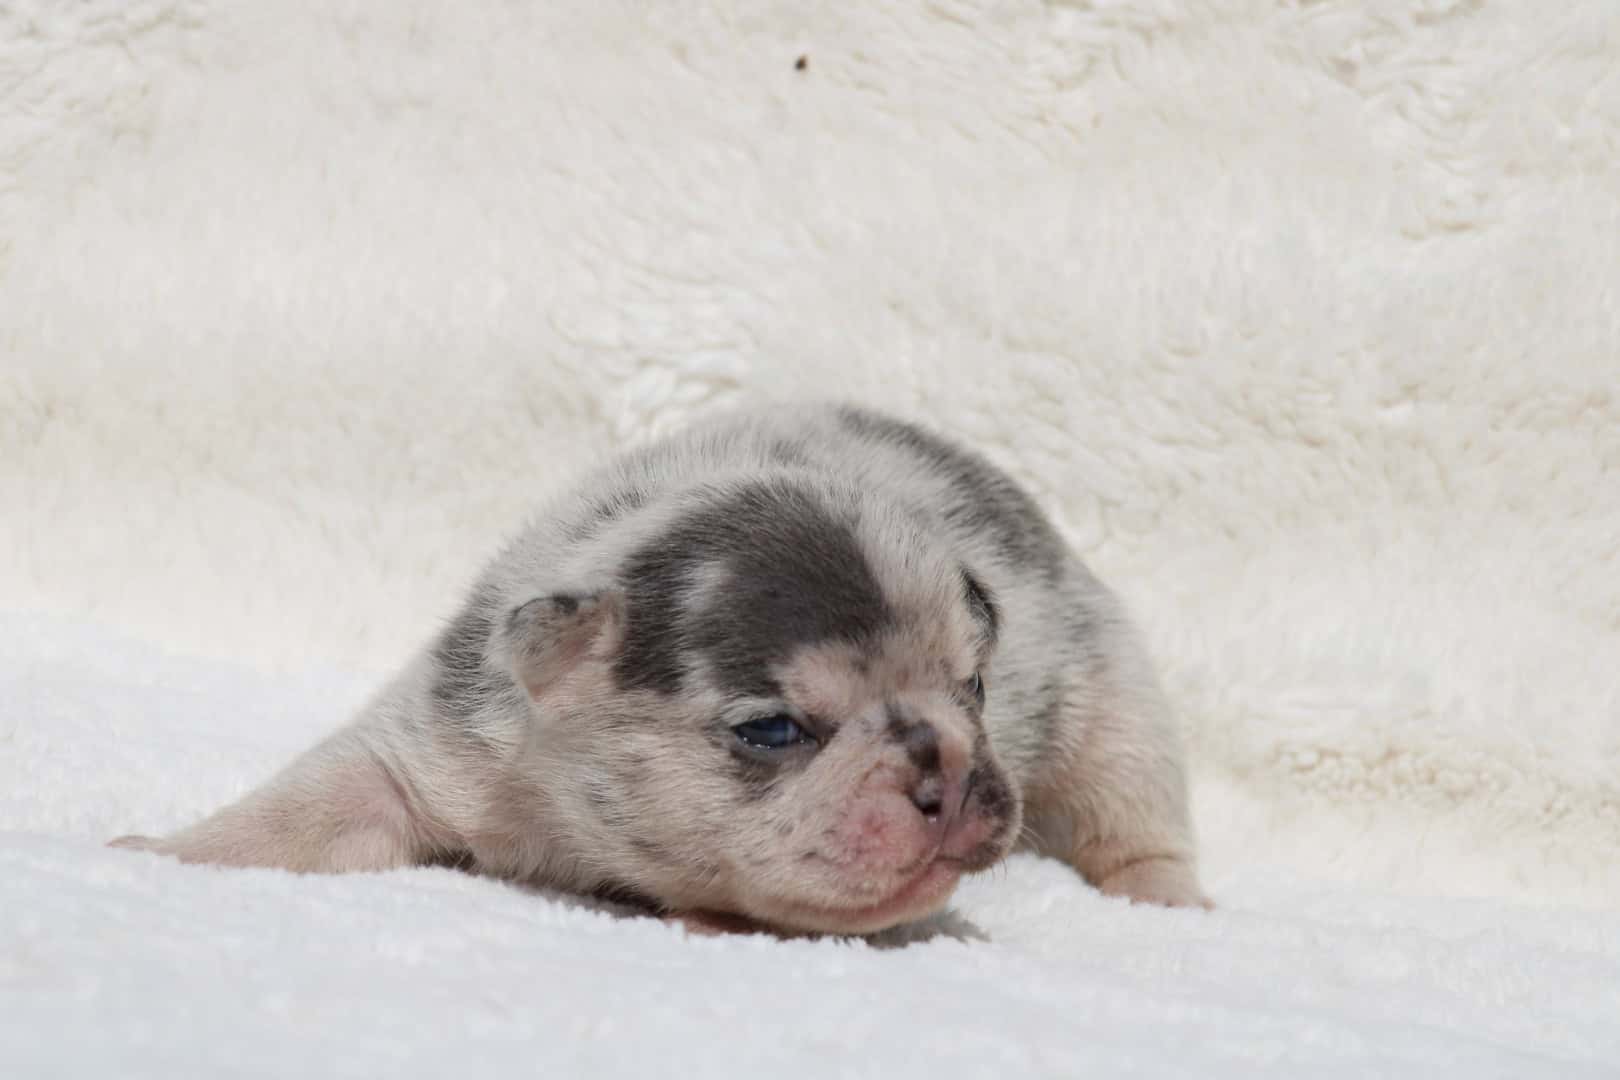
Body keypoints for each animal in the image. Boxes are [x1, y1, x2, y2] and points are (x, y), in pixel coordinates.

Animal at [114, 404, 1211, 939]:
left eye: (976, 686)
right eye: (771, 729)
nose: (949, 769)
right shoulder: (443, 741)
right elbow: (305, 810)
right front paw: (165, 853)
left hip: (1112, 692)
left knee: (1135, 812)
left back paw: (1167, 902)